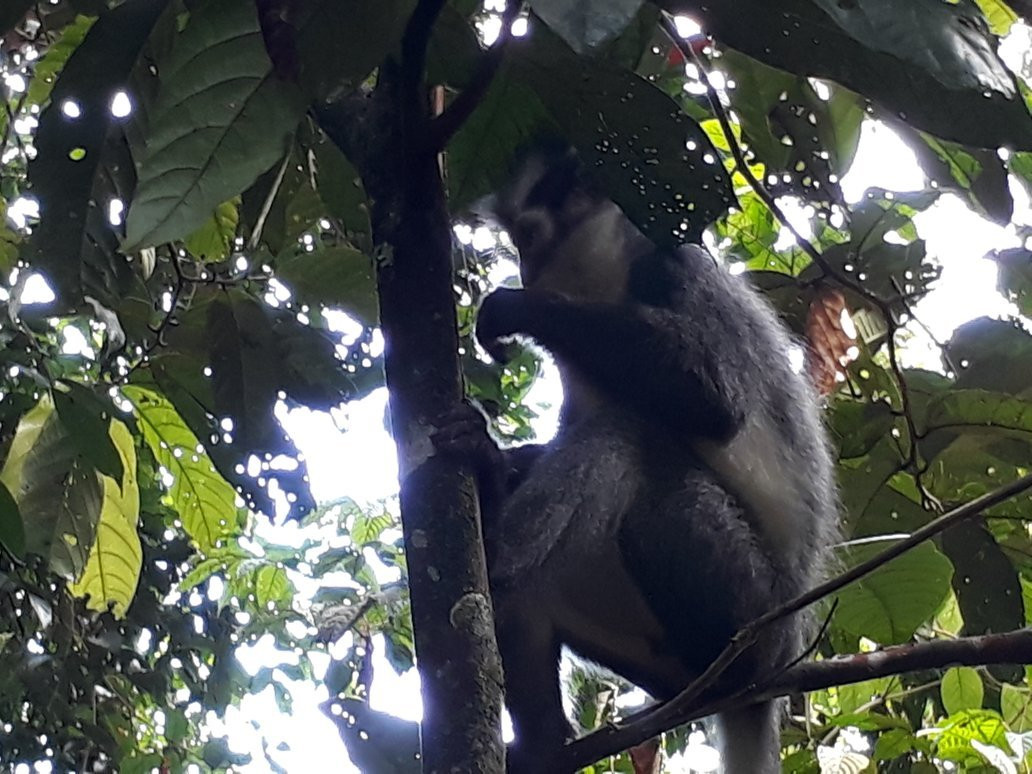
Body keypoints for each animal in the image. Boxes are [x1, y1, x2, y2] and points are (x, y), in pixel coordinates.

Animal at [434, 145, 839, 773]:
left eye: (531, 236)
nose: (527, 269)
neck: (608, 280)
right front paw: (485, 454)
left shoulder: (674, 265)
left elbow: (712, 398)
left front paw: (517, 308)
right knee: (530, 591)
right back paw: (543, 739)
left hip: (747, 606)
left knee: (629, 439)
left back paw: (496, 550)